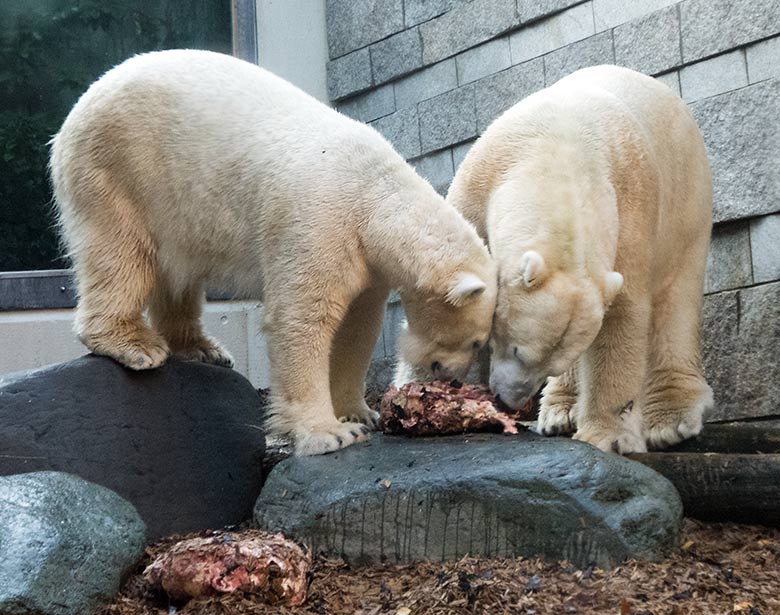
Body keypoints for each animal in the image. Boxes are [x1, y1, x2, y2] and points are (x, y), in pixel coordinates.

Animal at [51, 50, 496, 458]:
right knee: (120, 253)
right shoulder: (318, 221)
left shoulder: (366, 263)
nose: (453, 379)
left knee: (177, 274)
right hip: (121, 168)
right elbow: (302, 318)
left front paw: (358, 413)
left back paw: (203, 348)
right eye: (476, 342)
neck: (372, 194)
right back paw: (136, 345)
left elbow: (357, 326)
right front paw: (329, 434)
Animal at [450, 66, 712, 452]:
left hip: (687, 202)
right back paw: (560, 412)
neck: (559, 153)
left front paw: (609, 436)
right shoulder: (481, 181)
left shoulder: (633, 213)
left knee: (677, 298)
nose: (508, 401)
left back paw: (669, 421)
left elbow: (623, 315)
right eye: (517, 350)